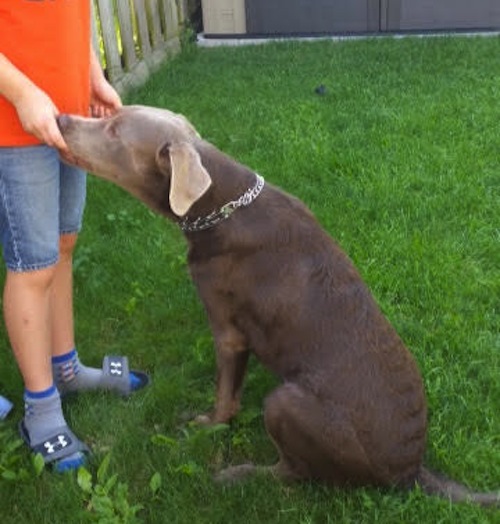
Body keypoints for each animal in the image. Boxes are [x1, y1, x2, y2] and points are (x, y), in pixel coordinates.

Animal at [56, 107, 498, 508]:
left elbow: (225, 398)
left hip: (284, 402)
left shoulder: (228, 331)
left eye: (114, 129)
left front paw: (206, 426)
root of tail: (410, 470)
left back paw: (240, 474)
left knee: (294, 473)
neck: (220, 207)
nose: (60, 119)